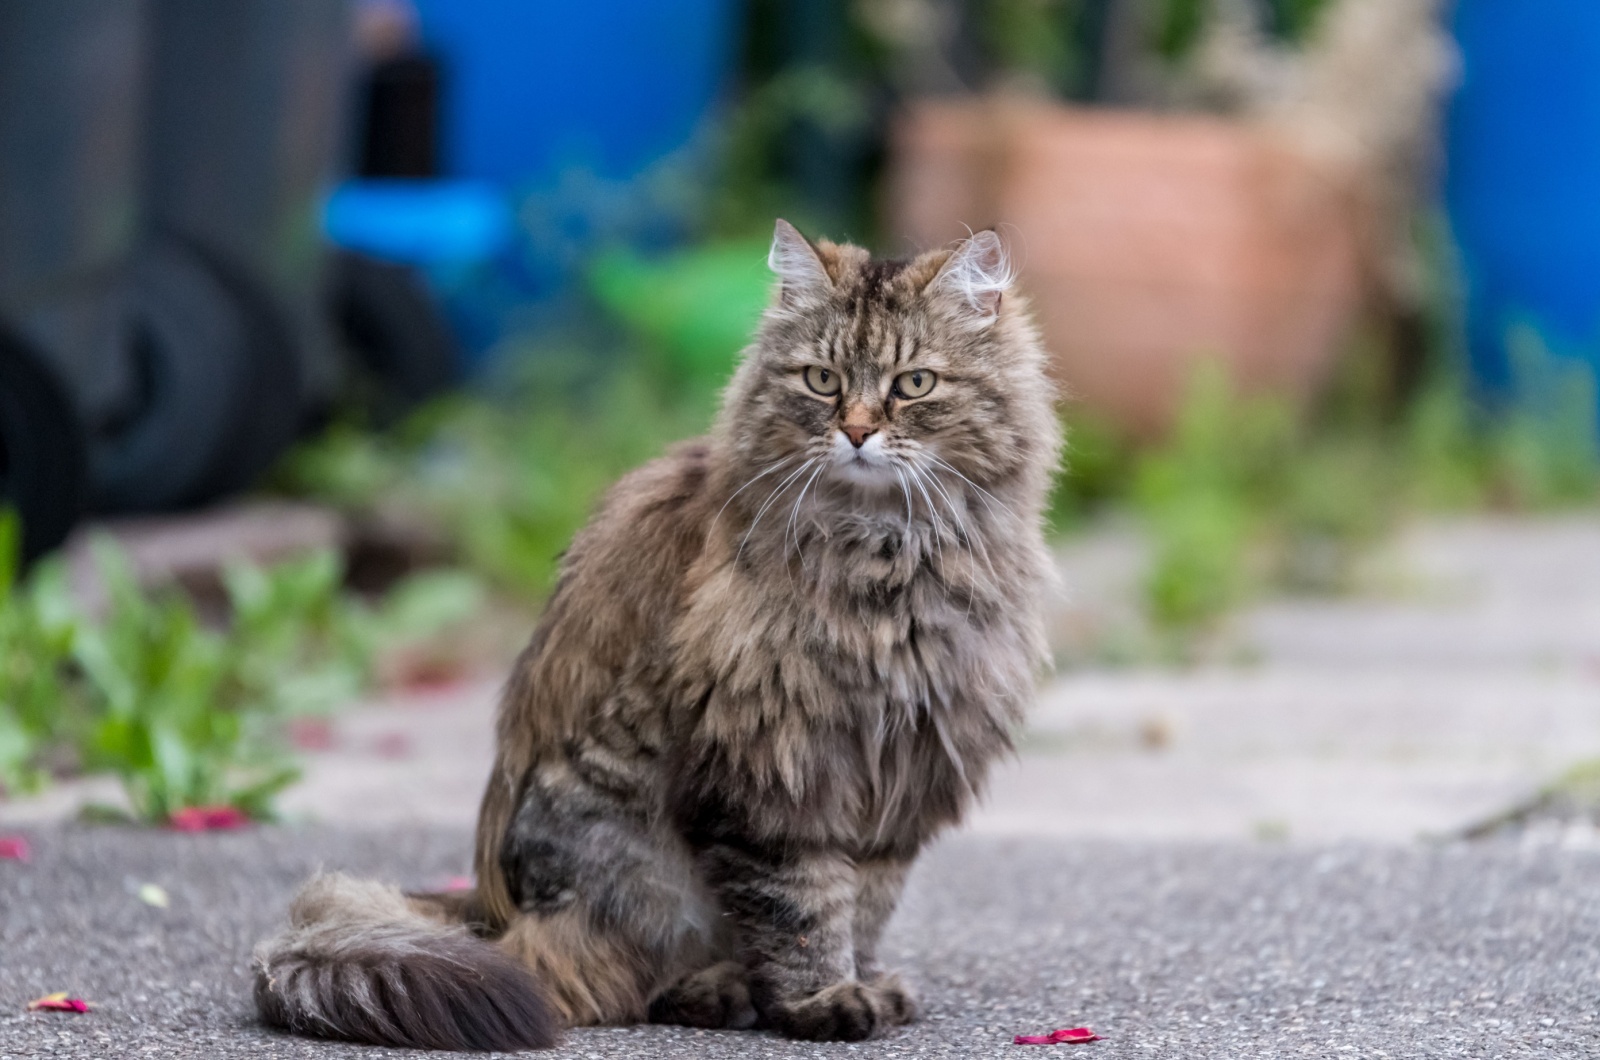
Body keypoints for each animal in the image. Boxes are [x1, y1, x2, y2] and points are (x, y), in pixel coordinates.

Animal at [252, 219, 1062, 1050]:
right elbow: (804, 909)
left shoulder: (899, 776)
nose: (858, 431)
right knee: (604, 977)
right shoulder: (771, 773)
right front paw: (822, 1001)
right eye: (822, 381)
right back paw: (718, 992)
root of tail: (486, 912)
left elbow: (865, 905)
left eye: (914, 385)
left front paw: (863, 982)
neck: (890, 557)